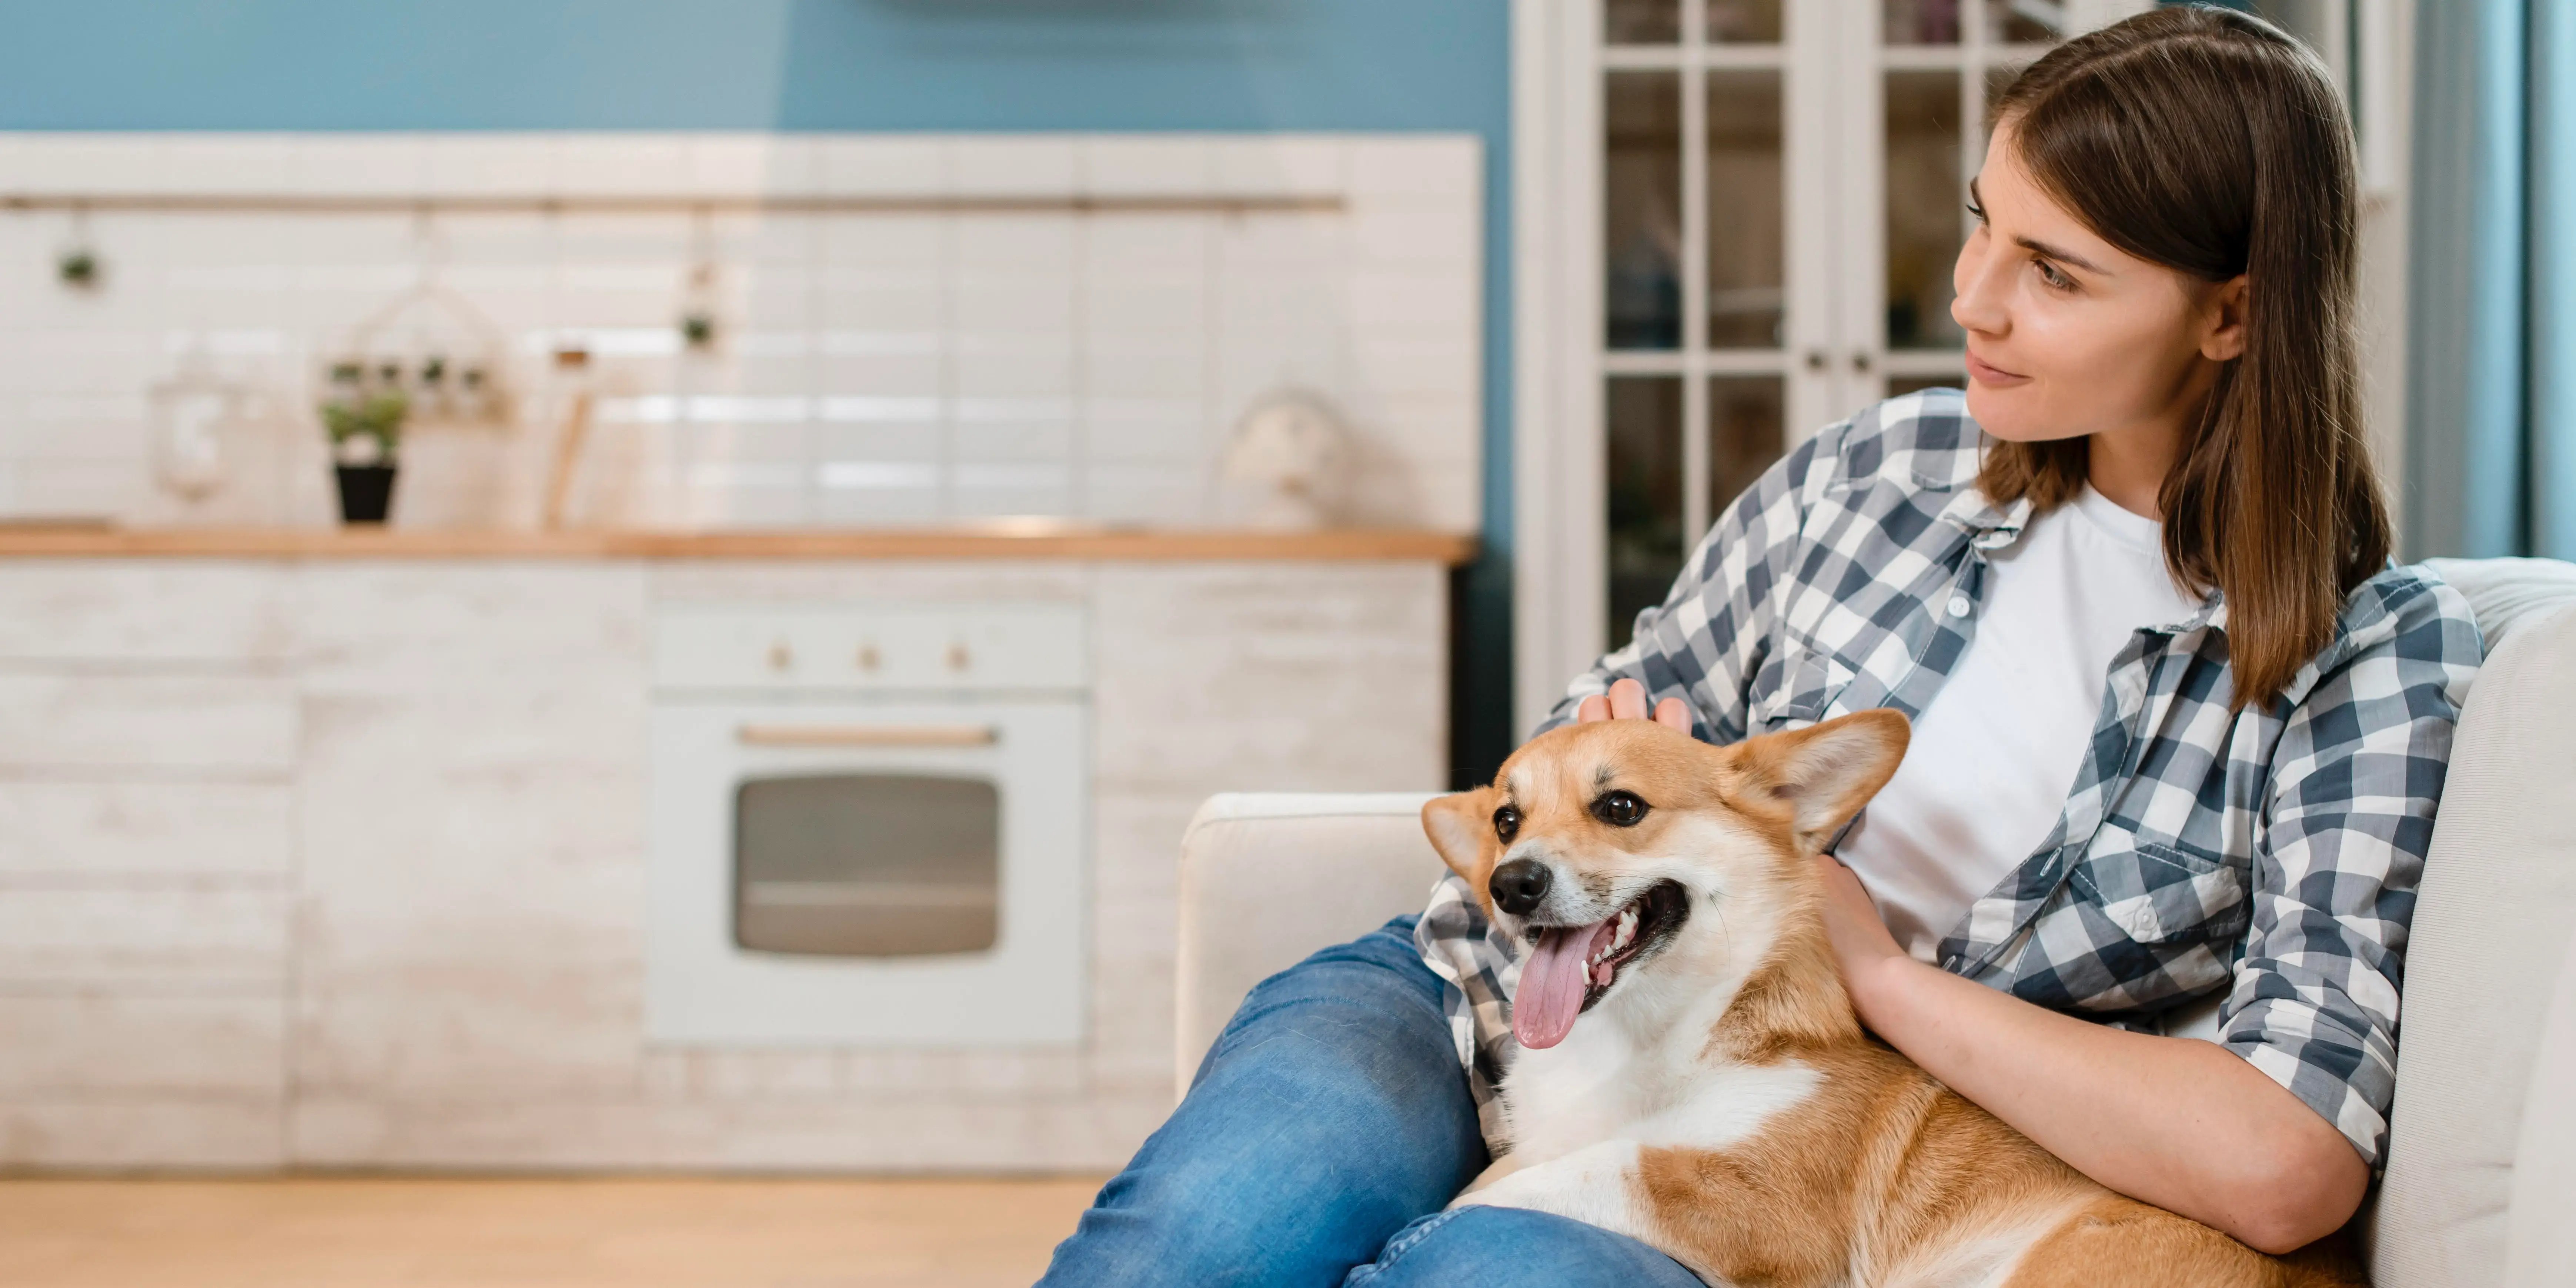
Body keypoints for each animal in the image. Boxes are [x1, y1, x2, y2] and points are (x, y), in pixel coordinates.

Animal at [1422, 716, 2359, 1288]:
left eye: (1620, 807)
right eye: (1506, 820)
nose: (1510, 883)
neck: (1649, 1035)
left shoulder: (1764, 1209)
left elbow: (1562, 1176)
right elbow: (1520, 1164)